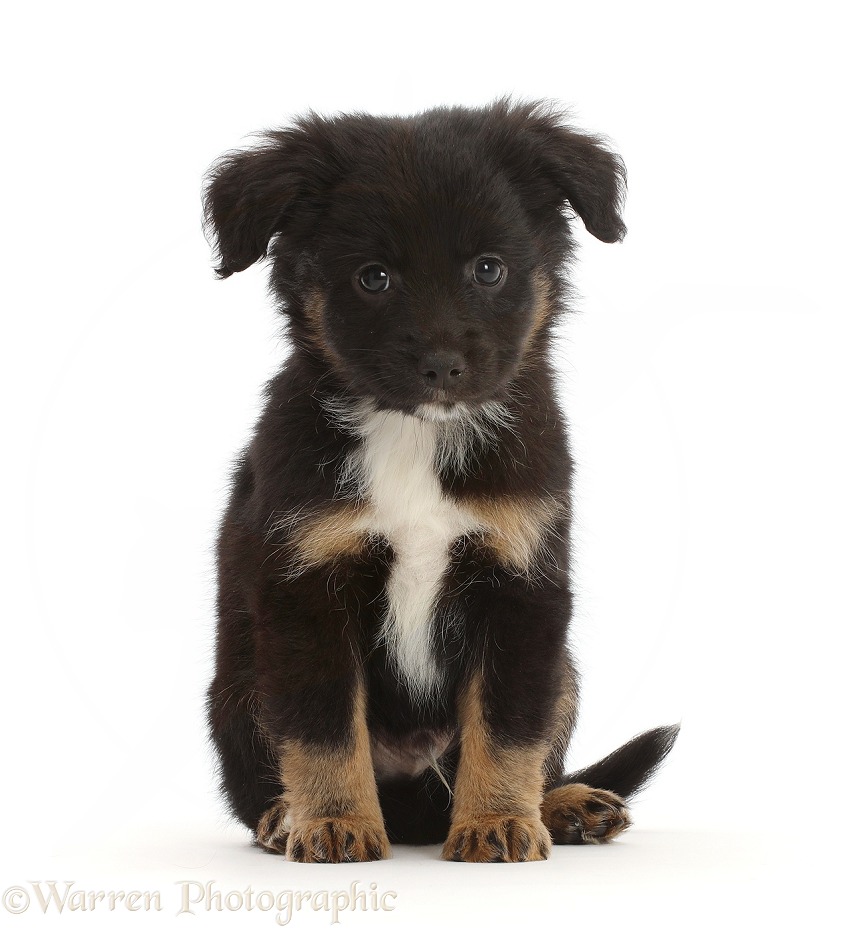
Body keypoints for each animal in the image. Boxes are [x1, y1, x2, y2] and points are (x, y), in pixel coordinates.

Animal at [205, 101, 684, 864]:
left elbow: (508, 727)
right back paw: (285, 815)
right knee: (262, 781)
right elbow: (323, 728)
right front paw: (334, 821)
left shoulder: (520, 584)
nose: (441, 365)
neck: (415, 436)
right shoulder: (306, 588)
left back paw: (565, 806)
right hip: (242, 682)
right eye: (373, 277)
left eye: (488, 269)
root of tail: (414, 811)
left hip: (564, 673)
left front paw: (498, 822)